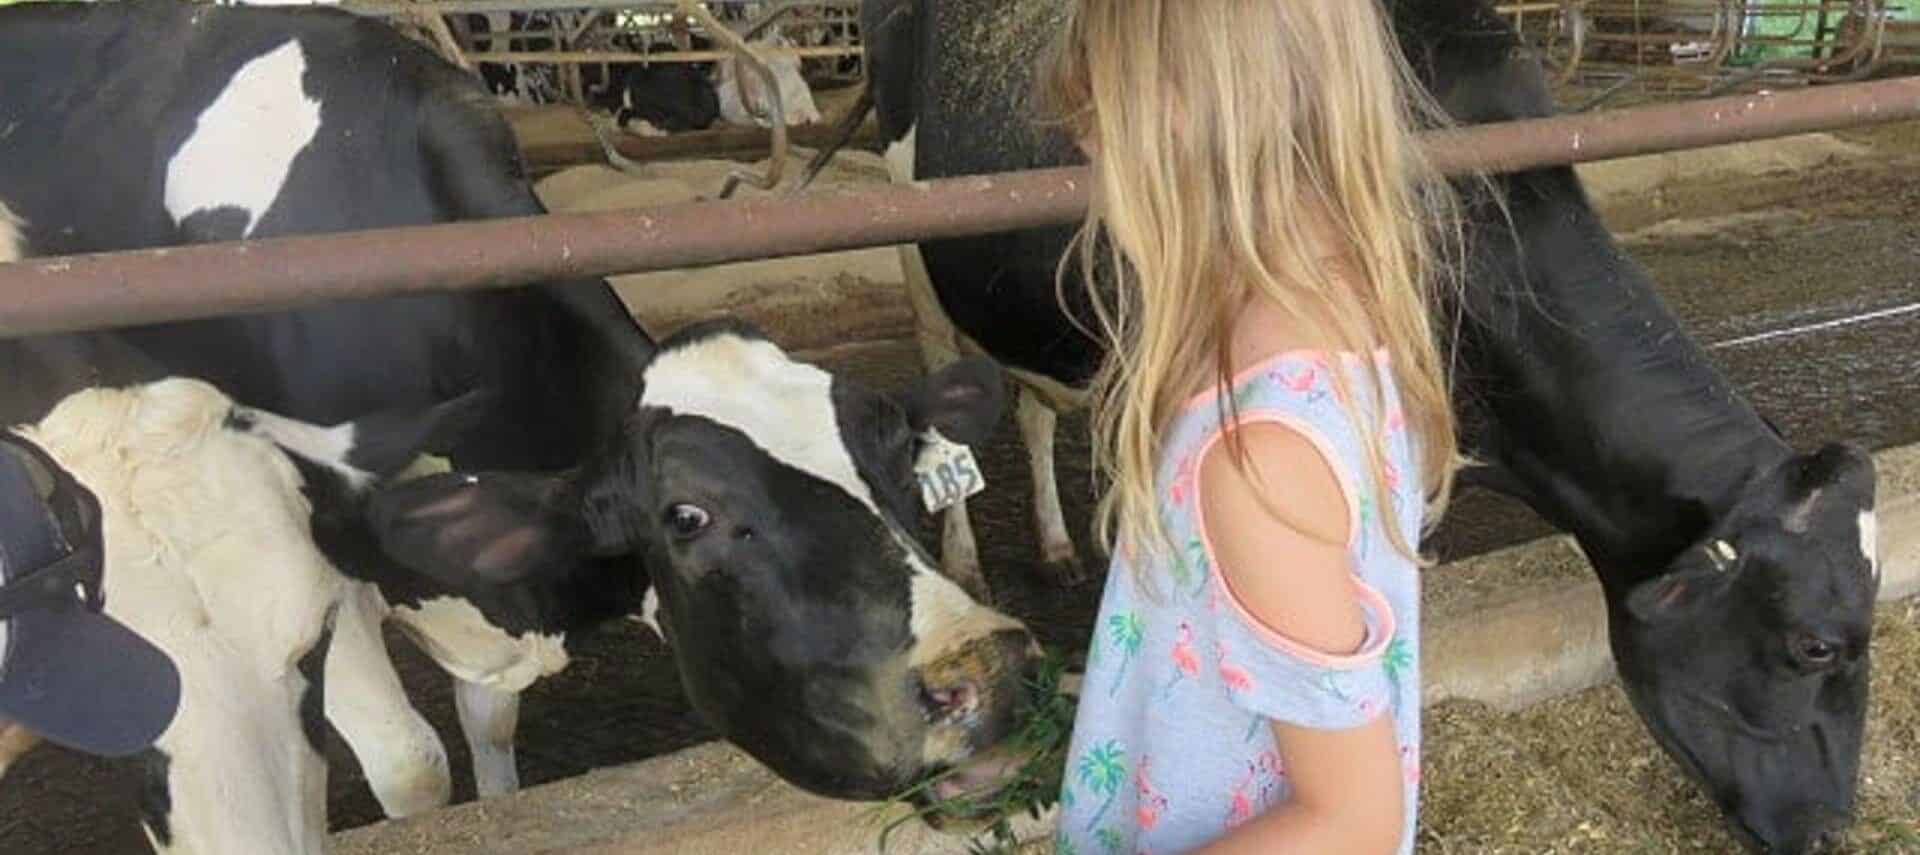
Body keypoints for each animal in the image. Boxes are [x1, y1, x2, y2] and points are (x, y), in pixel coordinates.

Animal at [0, 0, 1044, 841]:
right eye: (689, 516)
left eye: (897, 459)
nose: (986, 666)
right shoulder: (310, 553)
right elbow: (410, 763)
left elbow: (489, 729)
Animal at [840, 1, 1873, 853]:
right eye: (1813, 644)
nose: (1833, 829)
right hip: (918, 251)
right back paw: (969, 556)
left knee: (1029, 407)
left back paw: (1056, 545)